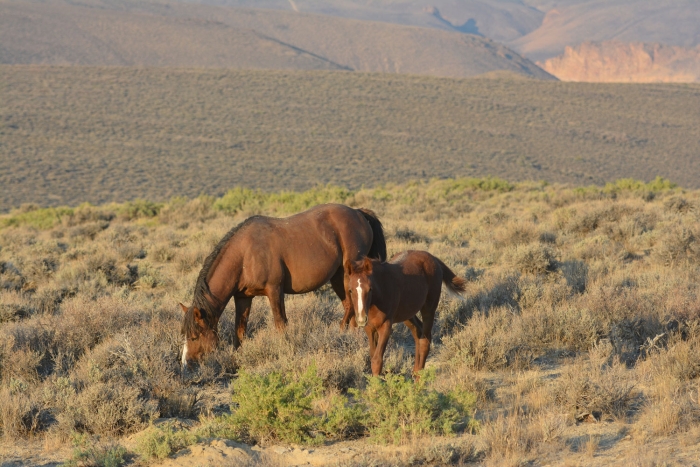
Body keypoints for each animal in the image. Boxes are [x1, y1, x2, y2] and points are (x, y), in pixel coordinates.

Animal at [179, 203, 388, 368]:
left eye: (194, 337)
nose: (186, 363)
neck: (245, 255)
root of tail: (358, 212)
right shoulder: (243, 297)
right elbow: (240, 330)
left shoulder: (274, 291)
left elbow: (280, 324)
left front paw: (284, 350)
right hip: (337, 276)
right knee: (349, 305)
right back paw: (350, 335)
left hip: (348, 273)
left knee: (352, 305)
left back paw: (342, 331)